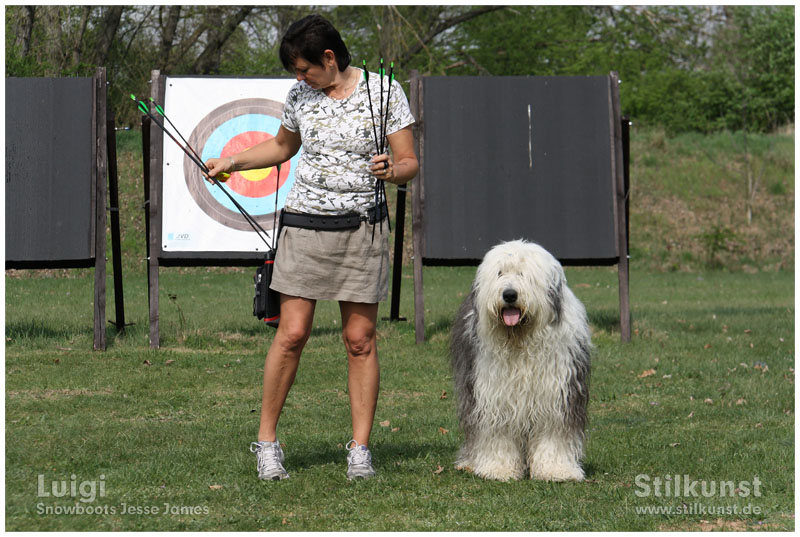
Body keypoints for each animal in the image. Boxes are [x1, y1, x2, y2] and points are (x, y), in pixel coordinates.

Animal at [450, 240, 592, 482]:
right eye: (500, 272)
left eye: (524, 274)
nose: (509, 294)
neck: (520, 338)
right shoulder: (493, 394)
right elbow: (497, 431)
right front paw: (499, 468)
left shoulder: (557, 393)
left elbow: (554, 432)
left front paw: (556, 469)